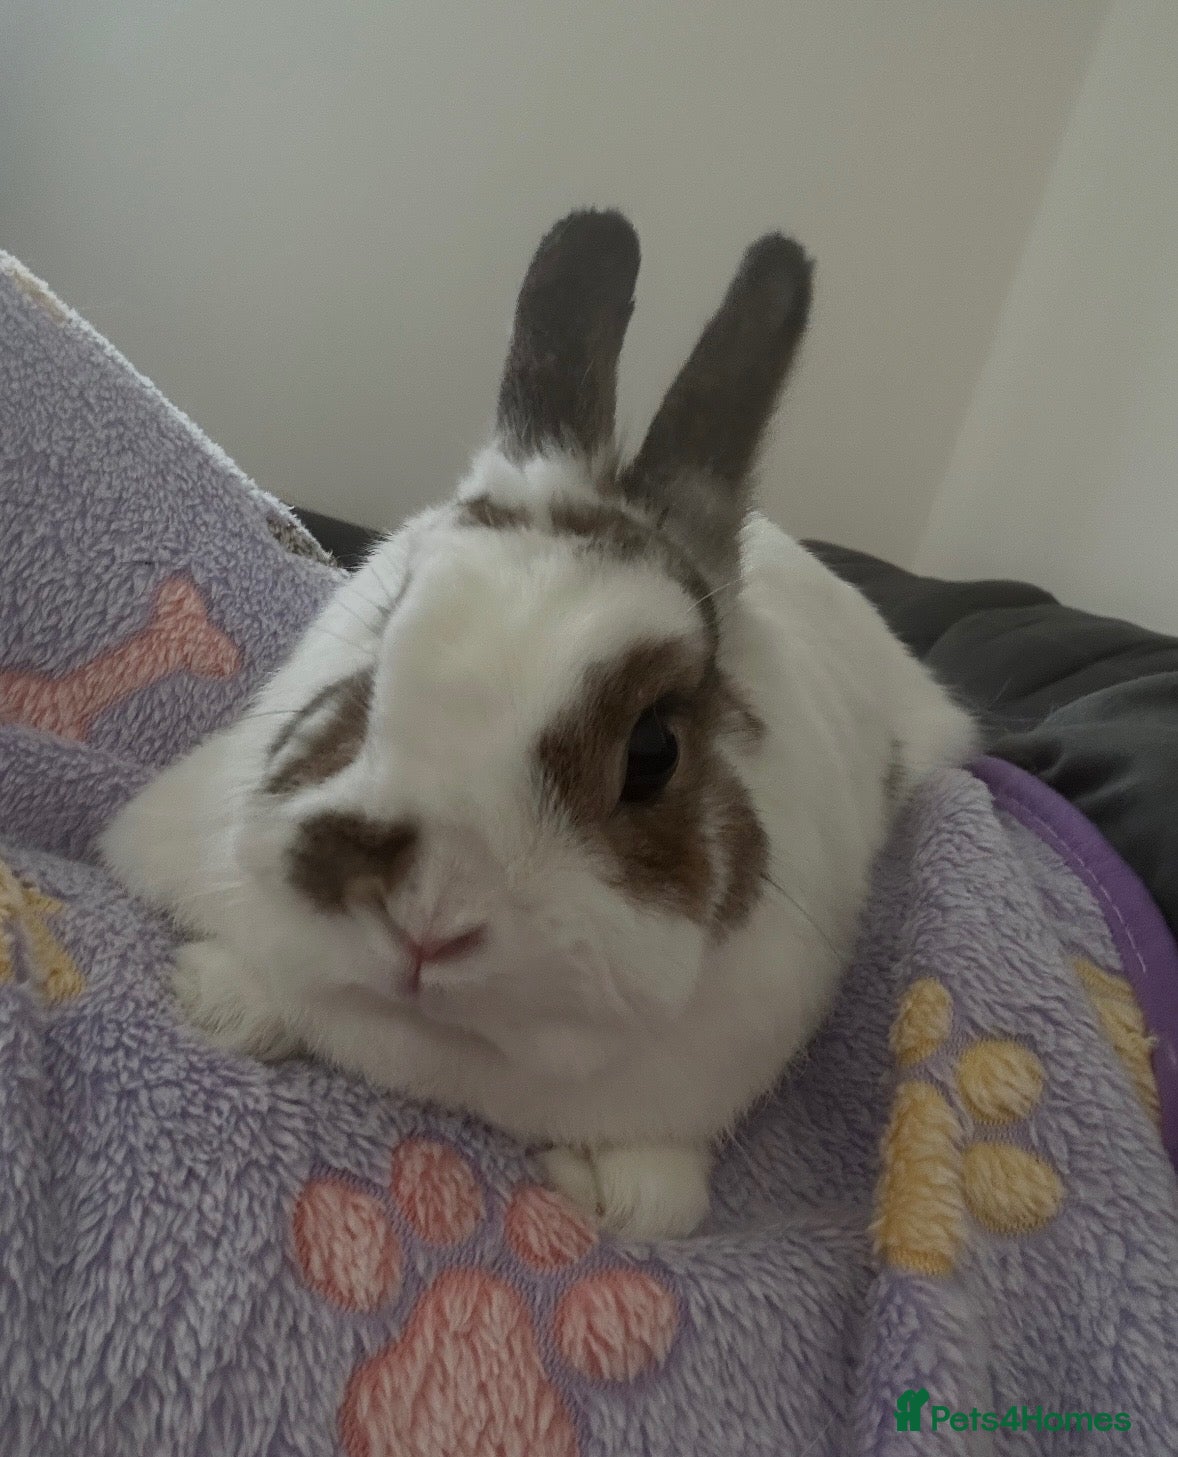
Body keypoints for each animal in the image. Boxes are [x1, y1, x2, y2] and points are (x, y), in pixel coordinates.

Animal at [100, 210, 976, 1240]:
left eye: (654, 751)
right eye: (382, 641)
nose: (428, 920)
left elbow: (656, 1196)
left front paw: (617, 1188)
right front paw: (226, 1001)